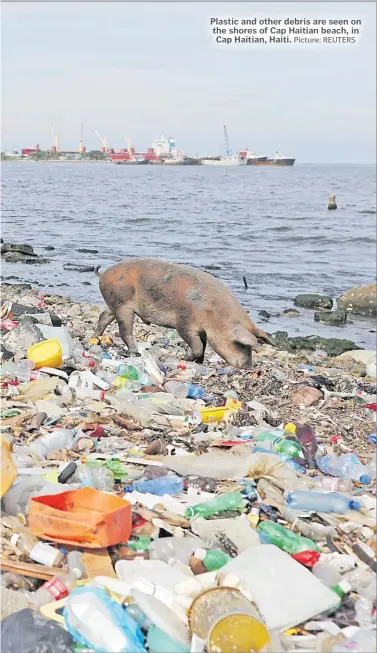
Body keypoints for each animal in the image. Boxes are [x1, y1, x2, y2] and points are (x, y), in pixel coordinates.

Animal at [92, 258, 272, 366]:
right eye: (241, 346)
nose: (248, 367)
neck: (215, 316)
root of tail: (103, 274)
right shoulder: (185, 322)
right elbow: (197, 345)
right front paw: (186, 358)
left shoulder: (203, 331)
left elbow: (203, 346)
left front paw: (199, 362)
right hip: (123, 304)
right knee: (124, 330)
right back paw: (135, 351)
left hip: (114, 304)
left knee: (103, 317)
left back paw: (95, 340)